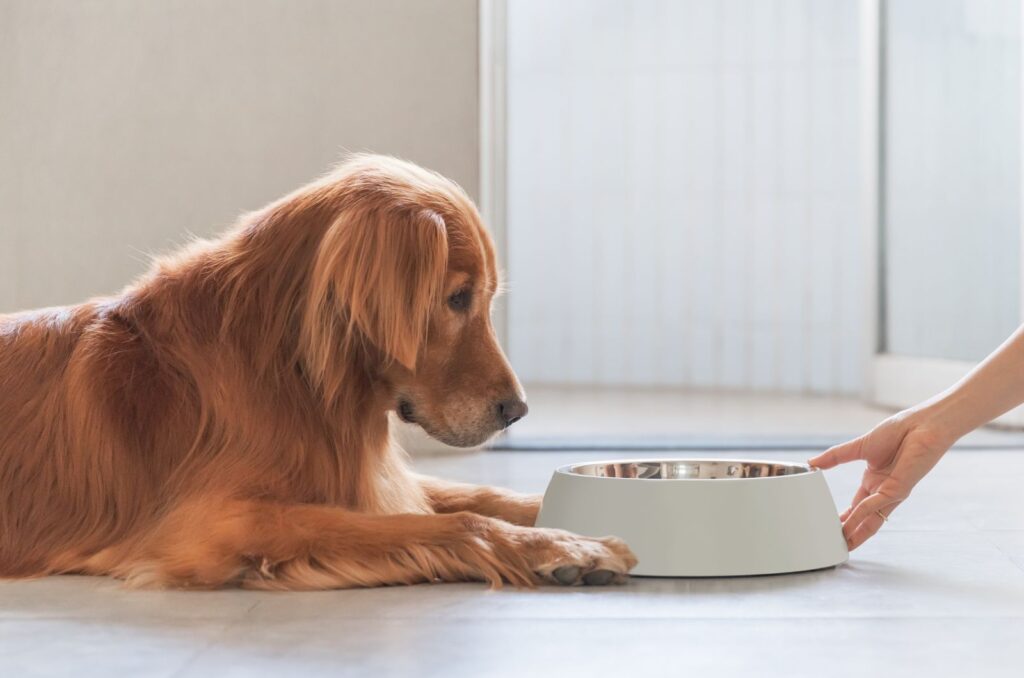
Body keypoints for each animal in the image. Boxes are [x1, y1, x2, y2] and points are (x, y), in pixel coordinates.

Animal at [0, 156, 634, 594]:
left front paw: (557, 518)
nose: (517, 411)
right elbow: (455, 523)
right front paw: (565, 547)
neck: (291, 372)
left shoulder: (362, 478)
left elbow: (480, 494)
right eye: (457, 298)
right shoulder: (217, 522)